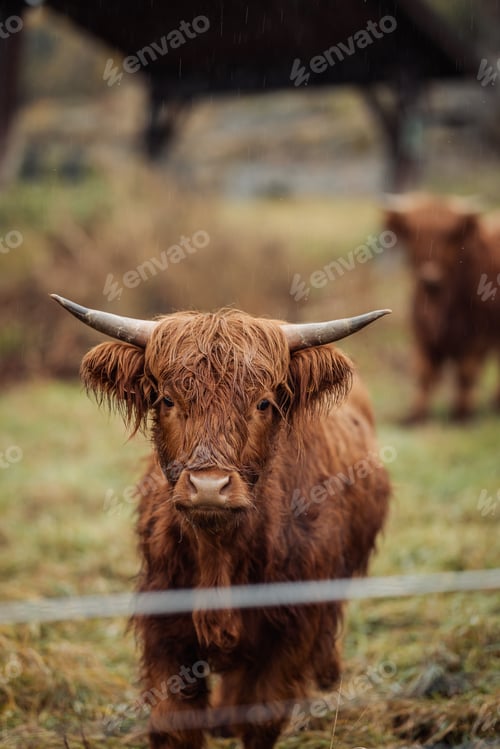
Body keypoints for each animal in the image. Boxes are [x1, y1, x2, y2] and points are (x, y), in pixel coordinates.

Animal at [51, 294, 391, 749]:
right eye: (167, 400)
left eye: (263, 403)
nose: (209, 486)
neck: (220, 558)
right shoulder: (165, 630)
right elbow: (175, 725)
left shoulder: (291, 631)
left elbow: (262, 718)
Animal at [384, 193, 500, 422]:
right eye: (413, 233)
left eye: (449, 235)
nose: (430, 277)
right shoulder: (422, 332)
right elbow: (424, 371)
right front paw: (415, 415)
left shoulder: (478, 336)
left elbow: (466, 372)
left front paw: (462, 414)